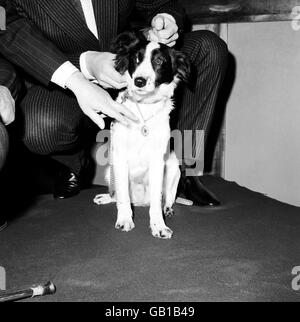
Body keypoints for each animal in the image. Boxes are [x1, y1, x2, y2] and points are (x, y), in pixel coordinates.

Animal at [94, 32, 190, 239]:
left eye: (159, 61)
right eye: (136, 58)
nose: (139, 81)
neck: (144, 108)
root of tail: (139, 202)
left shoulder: (158, 161)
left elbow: (156, 201)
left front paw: (158, 225)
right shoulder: (119, 157)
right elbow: (122, 196)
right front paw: (124, 219)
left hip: (173, 166)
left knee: (167, 198)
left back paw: (167, 209)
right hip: (110, 170)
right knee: (117, 195)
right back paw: (107, 197)